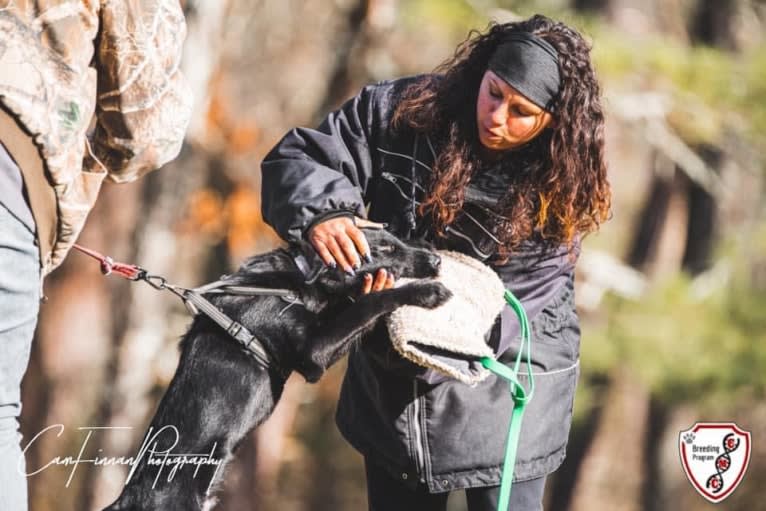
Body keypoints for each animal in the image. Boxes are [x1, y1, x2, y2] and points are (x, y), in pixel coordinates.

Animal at [103, 229, 450, 511]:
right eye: (385, 249)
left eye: (398, 240)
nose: (436, 259)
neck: (300, 275)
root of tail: (126, 501)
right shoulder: (314, 352)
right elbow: (371, 301)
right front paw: (426, 292)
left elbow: (350, 304)